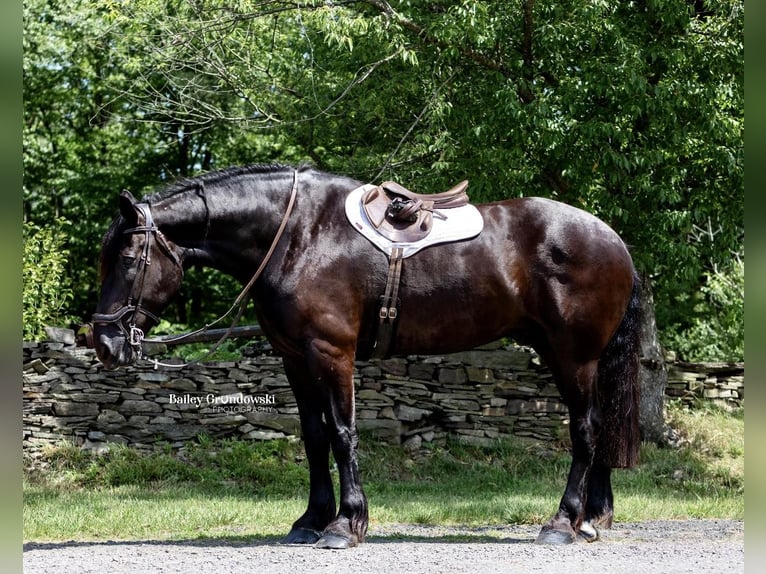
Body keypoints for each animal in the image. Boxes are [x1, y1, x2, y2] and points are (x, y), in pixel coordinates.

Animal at [91, 163, 640, 548]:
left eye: (128, 258)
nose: (104, 343)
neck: (298, 235)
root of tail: (613, 238)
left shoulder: (332, 353)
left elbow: (342, 433)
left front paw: (346, 523)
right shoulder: (294, 357)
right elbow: (314, 437)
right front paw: (311, 519)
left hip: (574, 356)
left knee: (585, 429)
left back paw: (563, 522)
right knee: (600, 426)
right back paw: (591, 519)